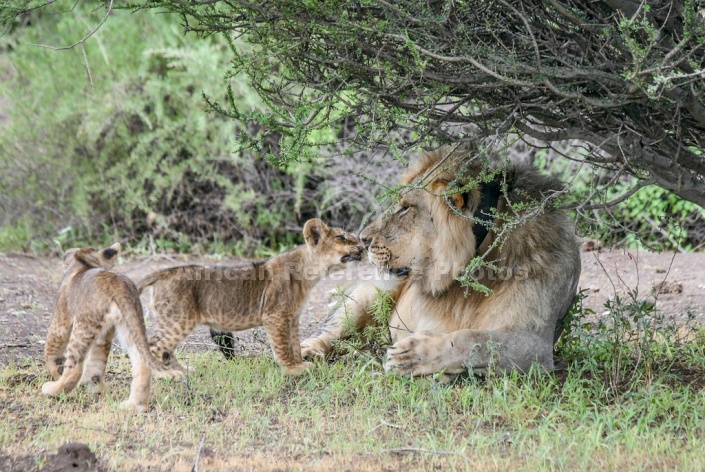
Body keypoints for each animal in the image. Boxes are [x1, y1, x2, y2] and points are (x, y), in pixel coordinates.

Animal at [141, 218, 366, 376]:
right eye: (341, 237)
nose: (363, 247)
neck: (309, 271)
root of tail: (165, 272)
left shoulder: (292, 317)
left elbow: (294, 343)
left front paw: (299, 363)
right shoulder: (275, 315)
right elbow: (283, 345)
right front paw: (292, 369)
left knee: (165, 350)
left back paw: (182, 372)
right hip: (179, 320)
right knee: (152, 347)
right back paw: (164, 375)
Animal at [300, 148, 580, 376]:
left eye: (405, 208)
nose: (363, 239)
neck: (475, 265)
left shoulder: (533, 343)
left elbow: (473, 340)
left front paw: (412, 356)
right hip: (373, 292)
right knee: (334, 329)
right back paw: (307, 351)